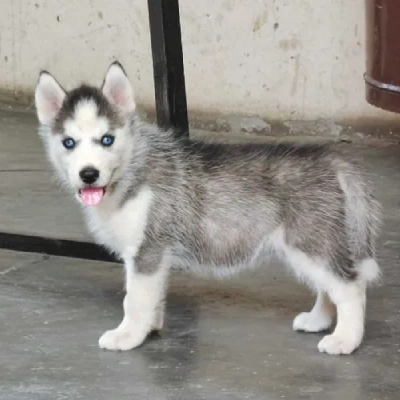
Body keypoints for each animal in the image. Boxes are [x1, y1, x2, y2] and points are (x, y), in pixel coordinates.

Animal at [35, 62, 382, 356]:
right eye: (68, 143)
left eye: (107, 139)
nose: (88, 174)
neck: (134, 166)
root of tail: (331, 158)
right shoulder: (153, 256)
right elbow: (151, 295)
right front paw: (151, 327)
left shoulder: (148, 249)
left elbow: (134, 299)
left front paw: (128, 335)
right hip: (311, 244)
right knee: (329, 284)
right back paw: (318, 320)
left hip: (308, 242)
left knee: (350, 286)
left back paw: (345, 340)